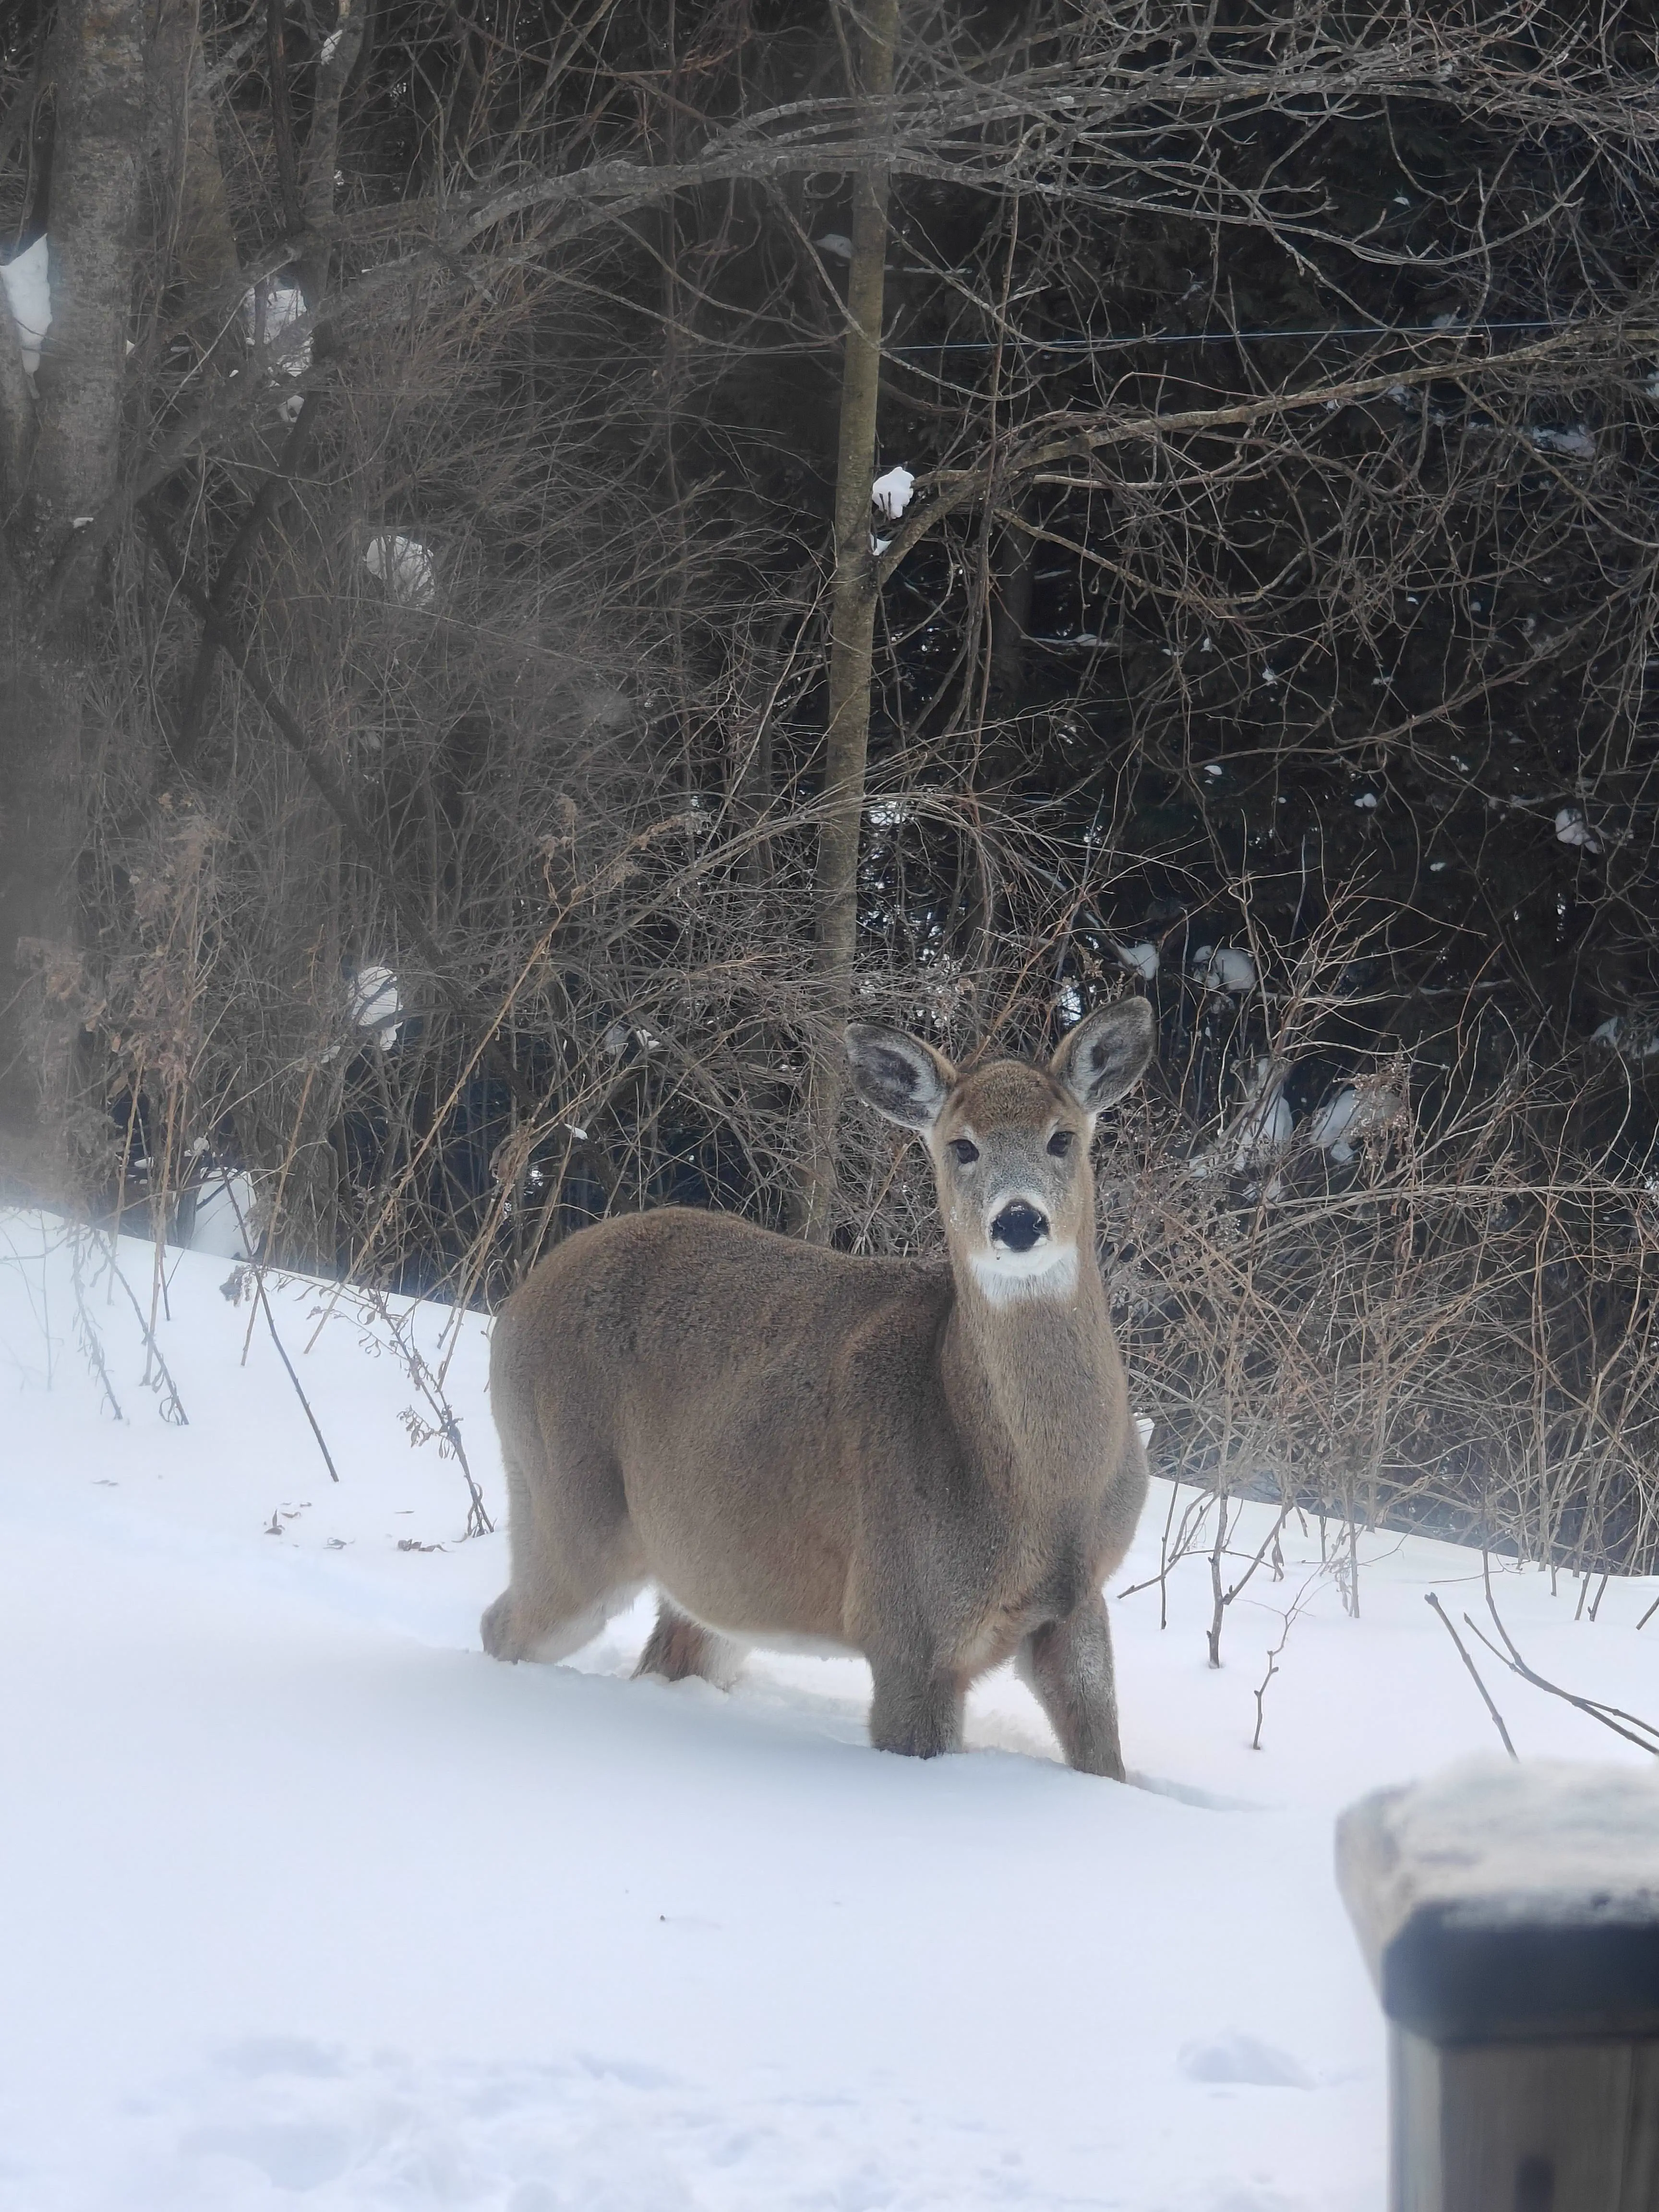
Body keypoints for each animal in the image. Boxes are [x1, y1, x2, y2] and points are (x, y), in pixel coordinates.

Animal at [482, 997, 1156, 1777]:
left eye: (1062, 1137)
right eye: (961, 1146)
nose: (1019, 1219)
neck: (1042, 1494)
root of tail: (520, 1300)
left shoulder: (1079, 1605)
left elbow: (1106, 1762)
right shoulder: (905, 1620)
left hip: (716, 1575)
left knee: (665, 1656)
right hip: (563, 1503)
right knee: (503, 1625)